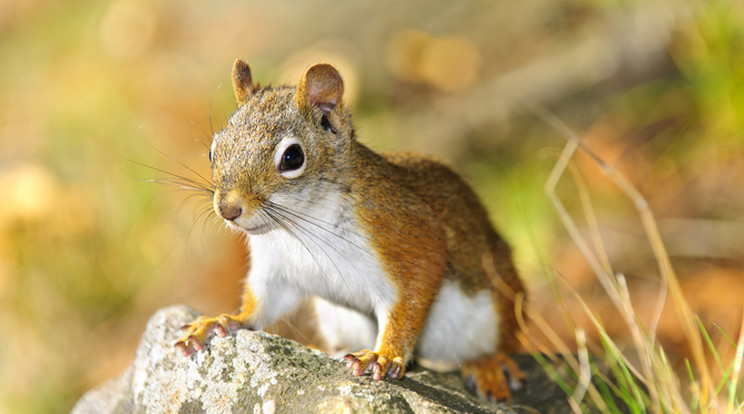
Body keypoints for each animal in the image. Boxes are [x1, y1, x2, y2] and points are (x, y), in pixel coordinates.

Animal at [175, 58, 528, 402]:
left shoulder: (405, 232)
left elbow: (411, 297)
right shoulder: (276, 270)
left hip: (494, 307)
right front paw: (223, 320)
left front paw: (383, 356)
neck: (299, 225)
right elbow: (260, 305)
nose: (228, 209)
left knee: (502, 342)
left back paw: (488, 365)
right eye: (213, 149)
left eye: (292, 157)